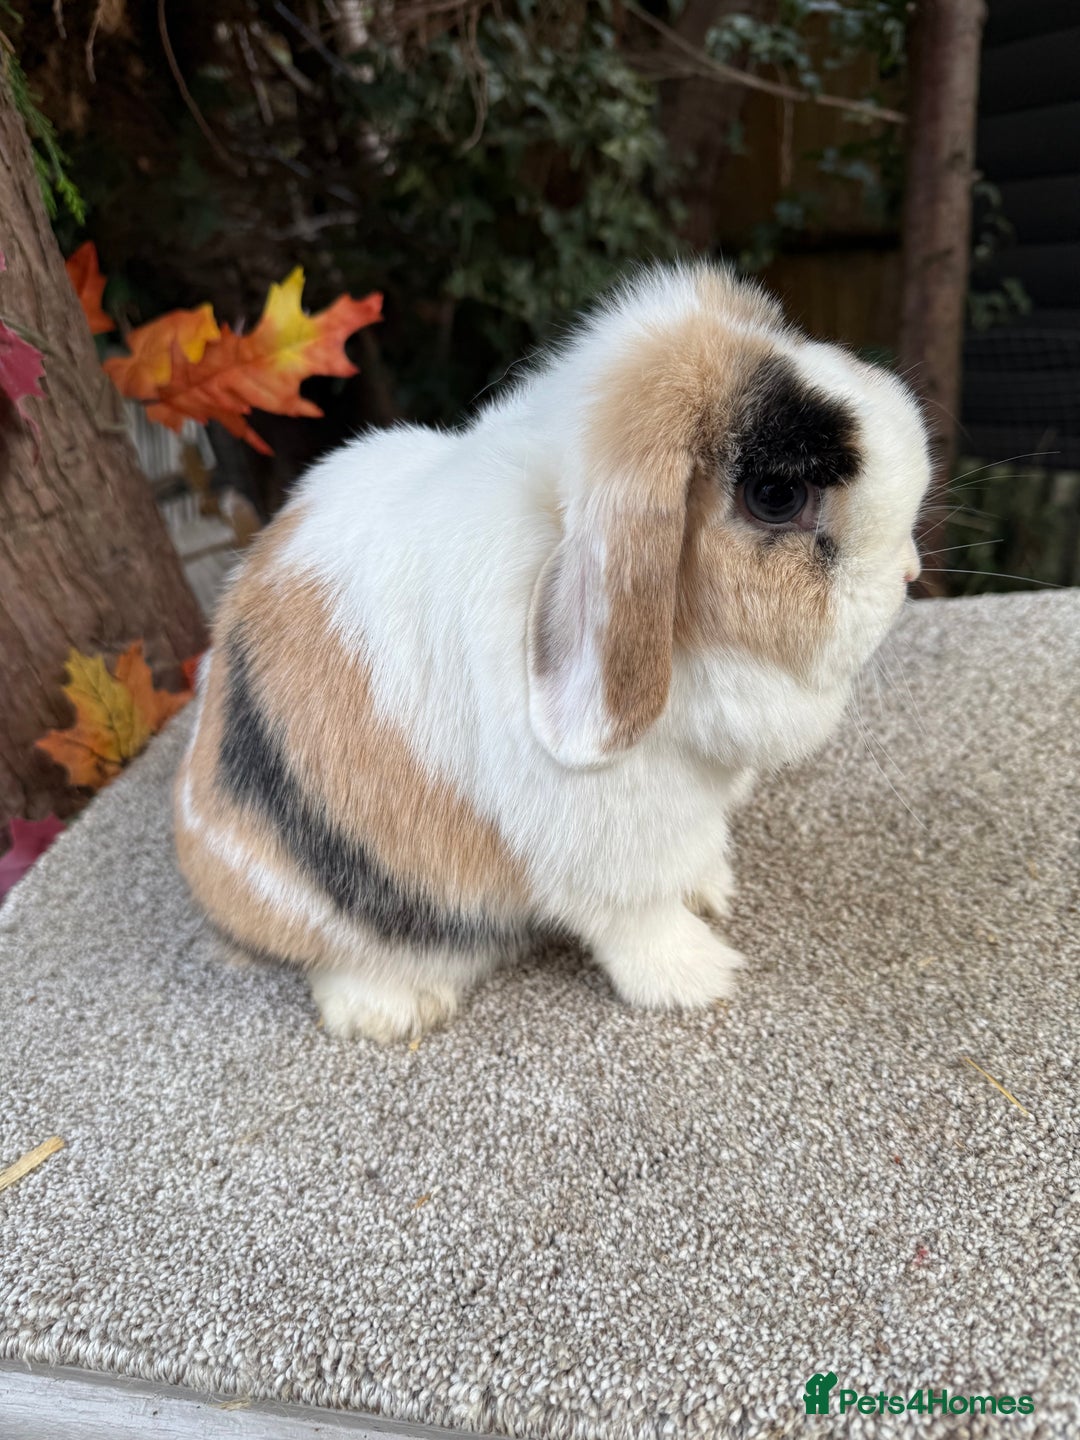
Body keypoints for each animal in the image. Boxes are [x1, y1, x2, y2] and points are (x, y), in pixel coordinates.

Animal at [174, 262, 930, 1043]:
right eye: (776, 494)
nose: (909, 572)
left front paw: (714, 891)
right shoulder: (611, 852)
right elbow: (641, 925)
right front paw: (704, 977)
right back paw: (396, 1011)